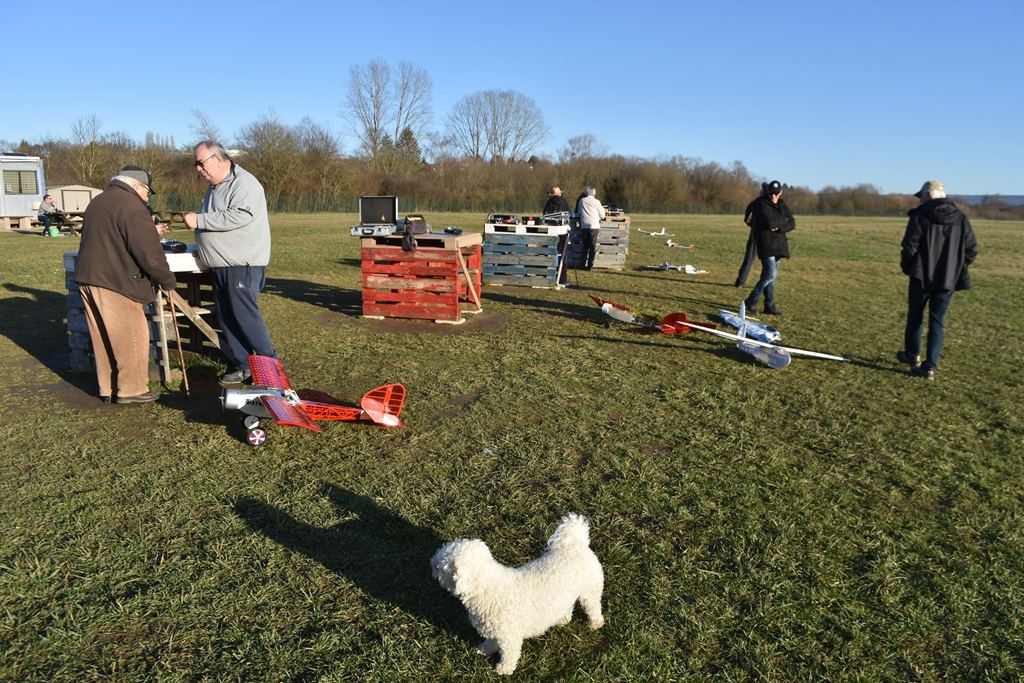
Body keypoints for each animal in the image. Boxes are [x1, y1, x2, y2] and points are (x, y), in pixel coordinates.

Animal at [430, 516, 602, 675]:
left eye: (440, 567)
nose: (431, 563)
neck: (488, 588)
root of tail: (575, 544)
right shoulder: (494, 630)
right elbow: (491, 642)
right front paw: (485, 649)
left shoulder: (509, 637)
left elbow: (509, 654)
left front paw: (504, 669)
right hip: (565, 595)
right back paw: (562, 620)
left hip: (590, 590)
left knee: (593, 607)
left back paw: (595, 623)